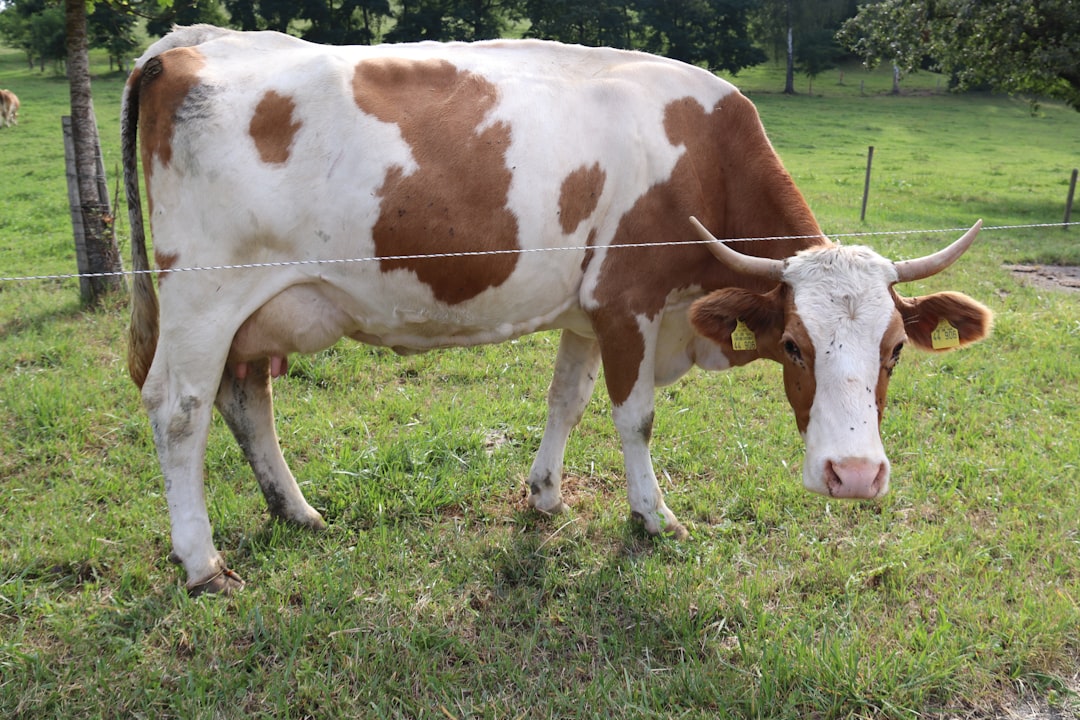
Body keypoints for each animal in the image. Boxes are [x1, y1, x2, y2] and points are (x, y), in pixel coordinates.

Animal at [121, 25, 992, 594]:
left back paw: (297, 512)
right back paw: (201, 562)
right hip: (204, 297)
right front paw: (653, 516)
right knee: (179, 412)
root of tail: (186, 45)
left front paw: (544, 496)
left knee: (246, 400)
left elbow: (565, 400)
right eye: (795, 346)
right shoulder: (628, 303)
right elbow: (634, 418)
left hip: (253, 313)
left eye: (894, 350)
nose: (856, 476)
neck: (701, 156)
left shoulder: (587, 311)